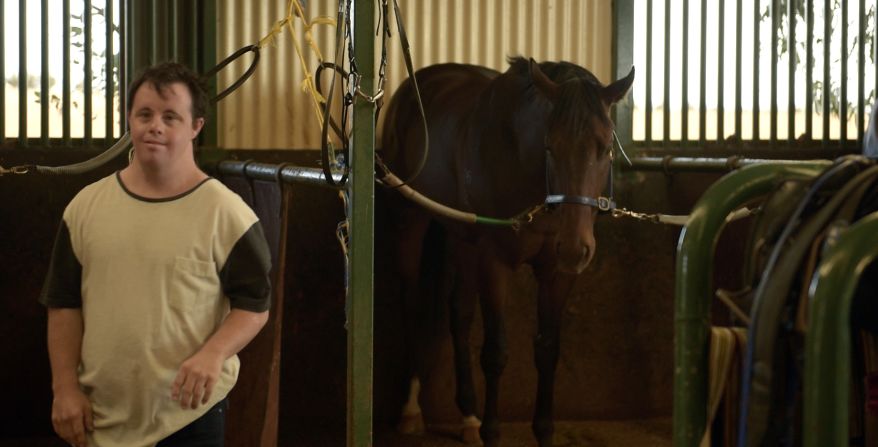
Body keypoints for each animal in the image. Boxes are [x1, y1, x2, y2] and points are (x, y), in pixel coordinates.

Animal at [382, 57, 636, 447]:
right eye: (550, 145)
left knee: (458, 314)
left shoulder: (556, 272)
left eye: (606, 146)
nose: (575, 248)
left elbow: (547, 350)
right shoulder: (494, 262)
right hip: (410, 221)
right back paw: (411, 410)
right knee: (413, 306)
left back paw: (468, 416)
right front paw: (491, 431)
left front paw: (542, 431)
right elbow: (496, 352)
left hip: (462, 238)